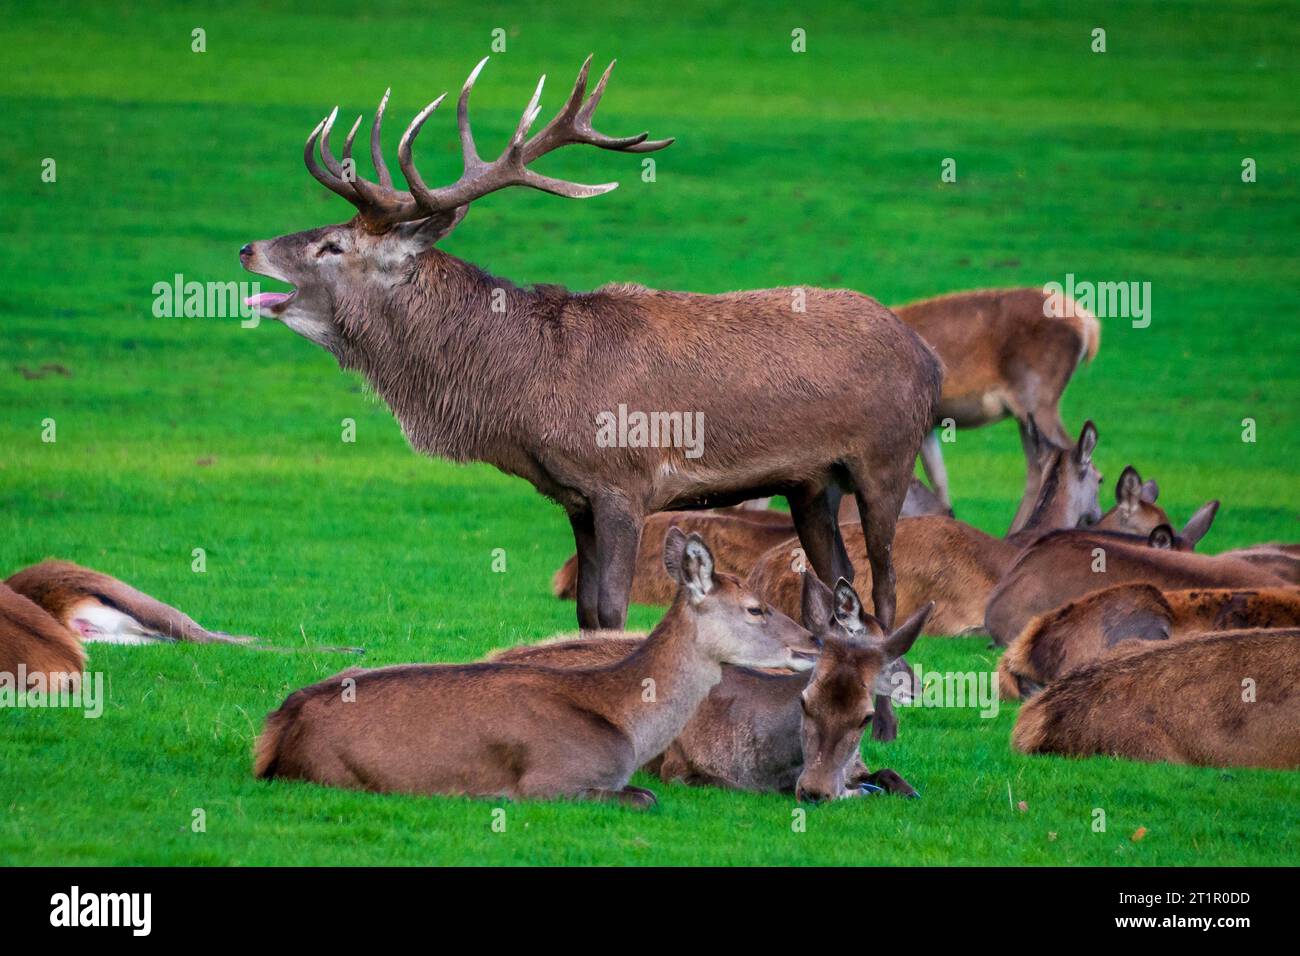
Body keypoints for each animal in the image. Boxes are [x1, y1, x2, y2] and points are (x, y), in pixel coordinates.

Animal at [238, 55, 942, 633]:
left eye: (333, 245)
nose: (248, 248)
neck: (529, 388)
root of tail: (927, 356)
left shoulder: (624, 481)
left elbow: (612, 607)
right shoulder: (574, 496)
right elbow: (585, 613)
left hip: (886, 456)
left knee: (883, 591)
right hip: (810, 485)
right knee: (840, 583)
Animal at [254, 528, 820, 807]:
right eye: (755, 608)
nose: (812, 642)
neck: (623, 725)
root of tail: (272, 733)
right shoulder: (551, 780)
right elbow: (645, 797)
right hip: (335, 771)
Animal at [892, 288, 1099, 518]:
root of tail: (1090, 326)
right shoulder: (927, 427)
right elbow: (939, 482)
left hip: (1038, 397)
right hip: (1027, 411)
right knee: (1037, 468)